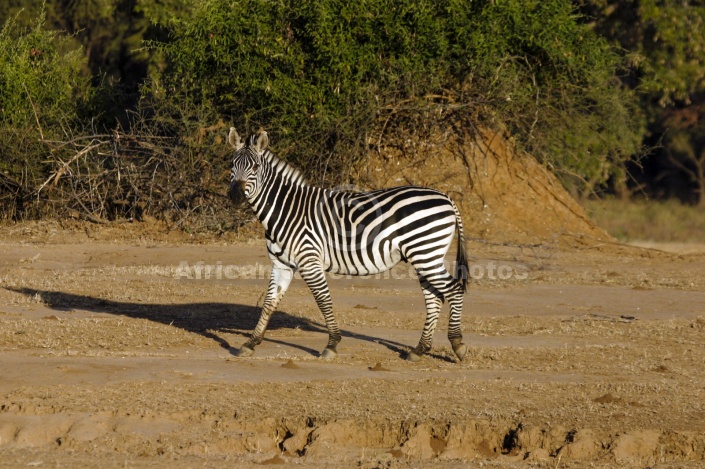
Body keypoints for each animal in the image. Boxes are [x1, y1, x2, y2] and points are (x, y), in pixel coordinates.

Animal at [227, 128, 468, 362]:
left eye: (256, 167)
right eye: (231, 165)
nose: (235, 197)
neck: (287, 210)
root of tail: (446, 197)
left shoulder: (309, 260)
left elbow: (323, 300)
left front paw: (331, 345)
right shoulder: (282, 265)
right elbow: (269, 303)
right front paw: (250, 343)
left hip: (425, 253)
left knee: (454, 289)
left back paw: (457, 345)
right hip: (425, 256)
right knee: (434, 298)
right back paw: (419, 350)